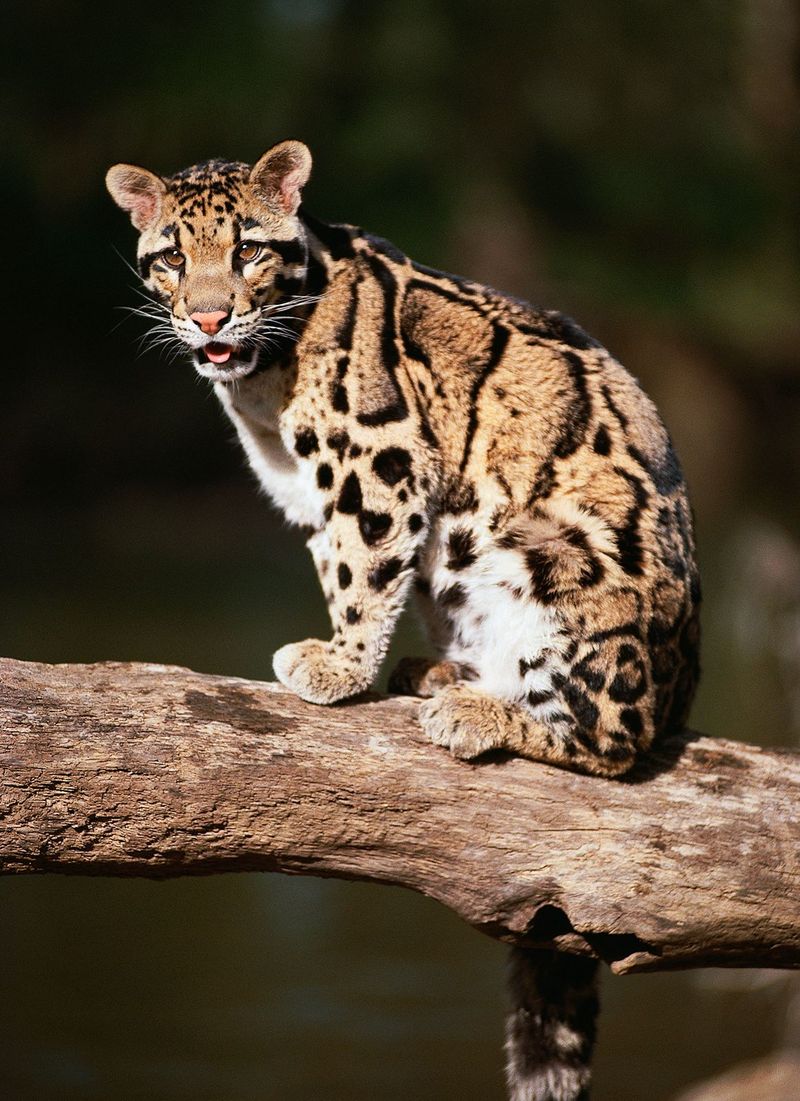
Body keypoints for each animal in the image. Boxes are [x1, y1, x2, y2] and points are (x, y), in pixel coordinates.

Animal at [107, 137, 699, 1101]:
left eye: (247, 251)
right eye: (170, 258)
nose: (206, 317)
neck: (262, 381)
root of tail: (688, 682)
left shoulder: (377, 456)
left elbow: (363, 565)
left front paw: (340, 667)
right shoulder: (308, 489)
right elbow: (341, 561)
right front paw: (353, 660)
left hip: (555, 559)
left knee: (619, 739)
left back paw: (477, 709)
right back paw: (445, 670)